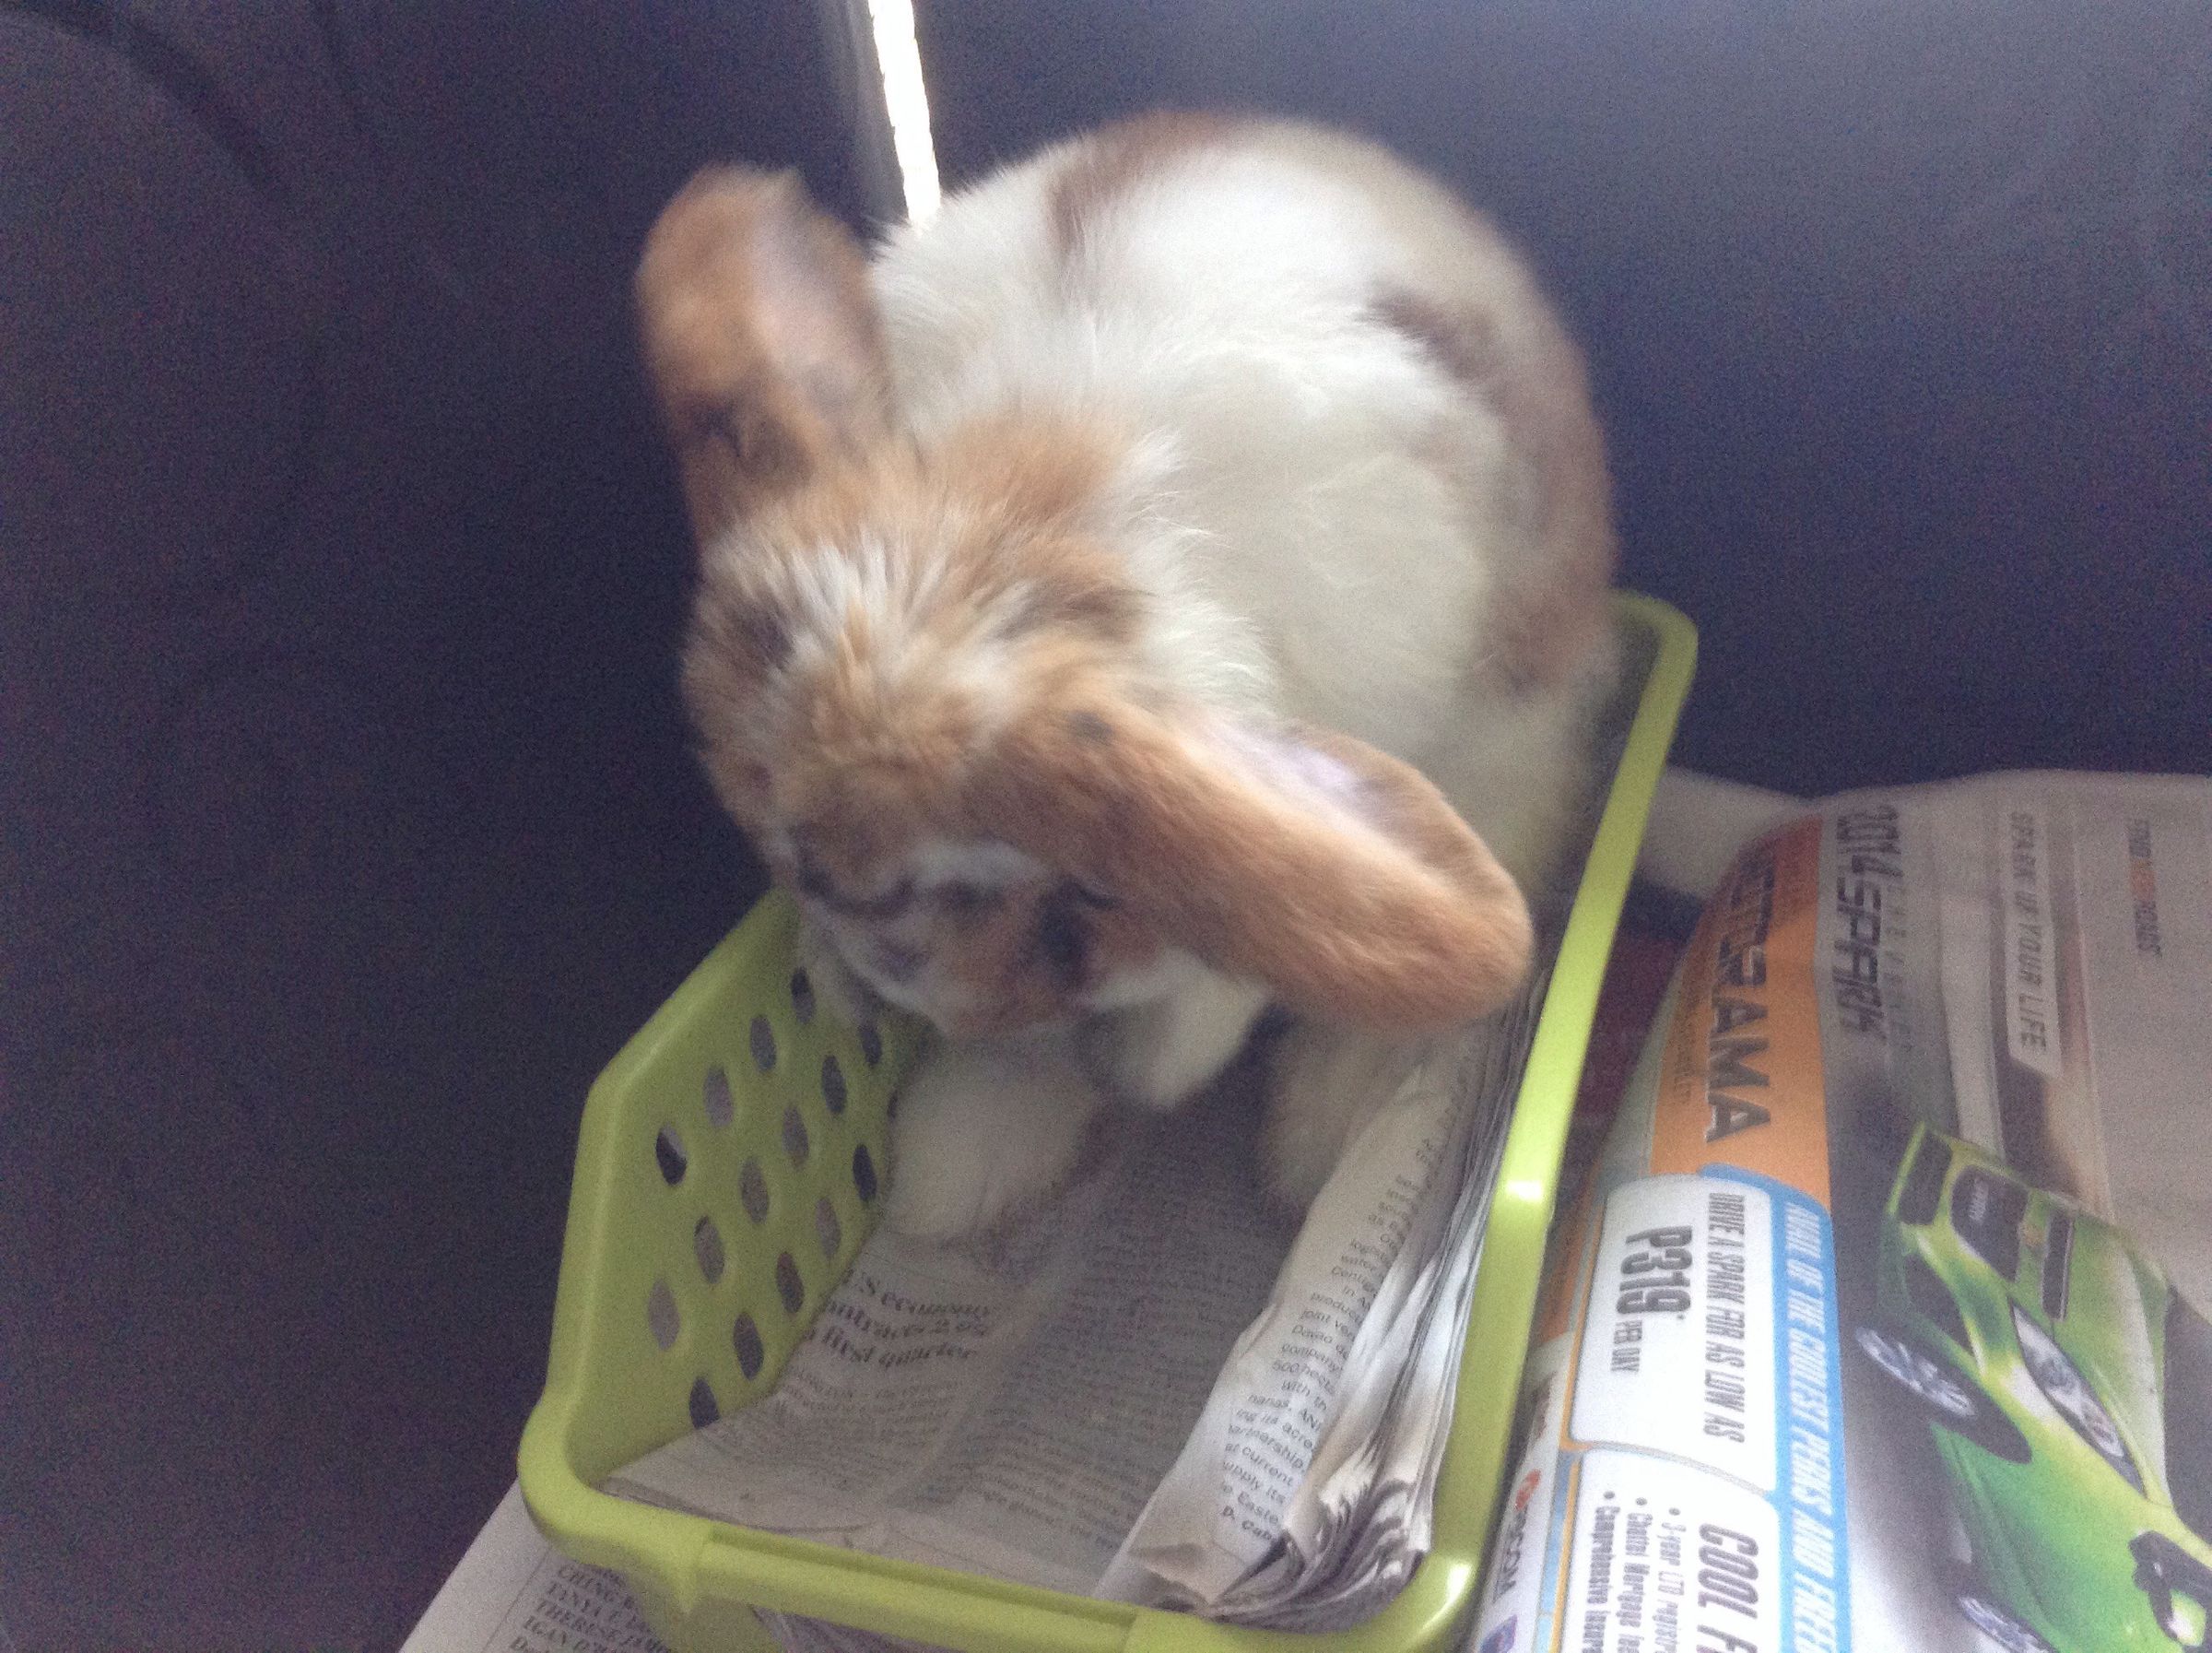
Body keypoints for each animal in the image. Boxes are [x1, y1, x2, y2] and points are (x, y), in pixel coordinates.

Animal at [635, 113, 1617, 1239]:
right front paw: (963, 1148)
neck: (1044, 505)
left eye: (1065, 922)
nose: (898, 993)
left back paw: (1323, 1136)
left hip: (1514, 756)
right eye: (784, 866)